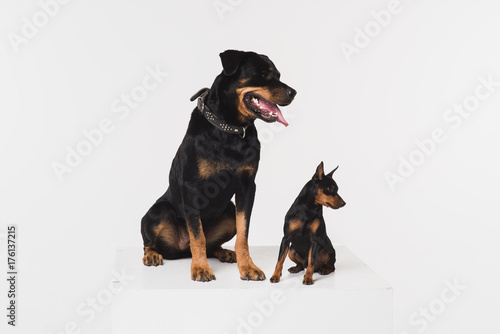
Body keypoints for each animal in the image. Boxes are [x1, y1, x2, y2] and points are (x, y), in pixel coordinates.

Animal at [140, 49, 296, 282]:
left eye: (278, 75)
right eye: (263, 74)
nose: (293, 92)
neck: (230, 129)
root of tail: (180, 250)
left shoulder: (247, 186)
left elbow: (243, 233)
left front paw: (247, 267)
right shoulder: (191, 187)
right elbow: (197, 236)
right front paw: (201, 268)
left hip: (229, 211)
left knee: (213, 244)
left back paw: (225, 253)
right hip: (157, 212)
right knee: (150, 242)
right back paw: (152, 255)